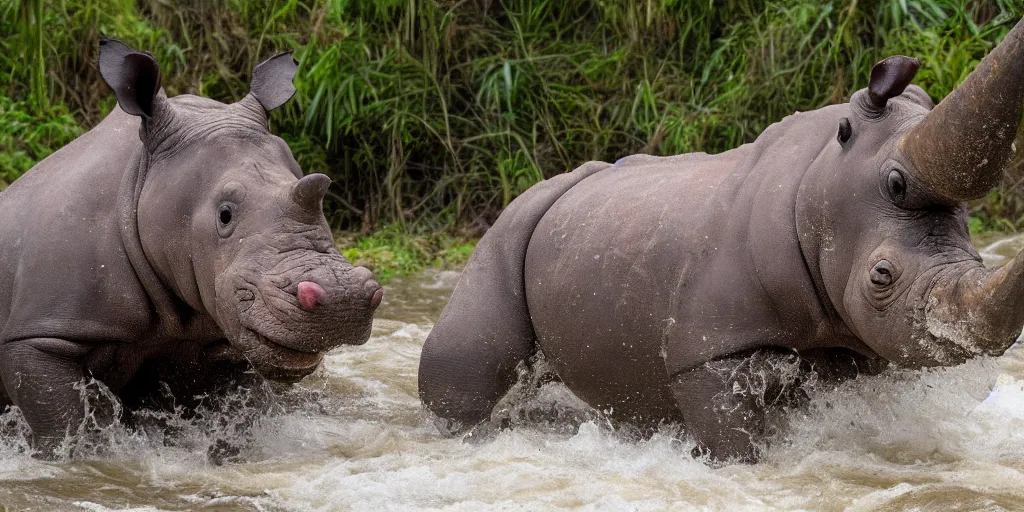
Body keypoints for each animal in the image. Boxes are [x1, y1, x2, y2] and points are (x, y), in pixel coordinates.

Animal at [0, 39, 382, 454]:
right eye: (225, 215)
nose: (342, 299)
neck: (141, 179)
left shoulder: (227, 325)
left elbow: (242, 414)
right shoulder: (39, 335)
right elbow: (66, 425)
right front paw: (77, 458)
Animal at [419, 17, 1024, 464]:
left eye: (979, 257)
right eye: (881, 277)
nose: (958, 343)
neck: (817, 186)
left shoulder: (856, 345)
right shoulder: (710, 346)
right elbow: (732, 433)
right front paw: (741, 466)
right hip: (510, 226)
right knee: (467, 364)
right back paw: (461, 436)